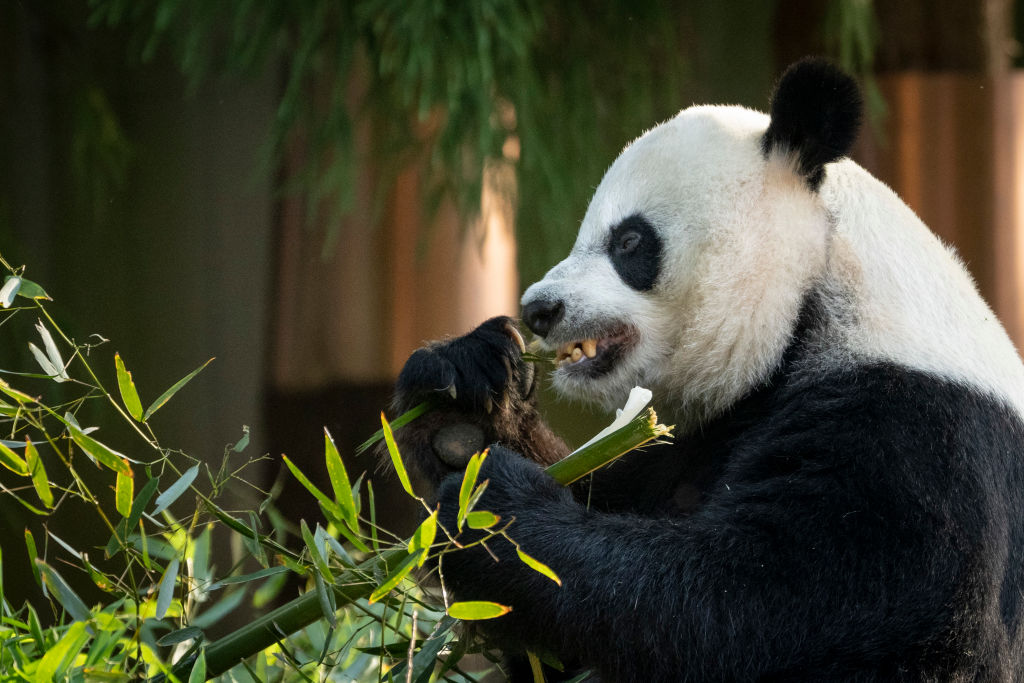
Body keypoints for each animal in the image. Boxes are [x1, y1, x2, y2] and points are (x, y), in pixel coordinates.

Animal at [387, 60, 1024, 683]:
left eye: (629, 240)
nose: (539, 309)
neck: (820, 282)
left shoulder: (915, 440)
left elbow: (748, 605)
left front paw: (494, 511)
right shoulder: (700, 439)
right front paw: (460, 410)